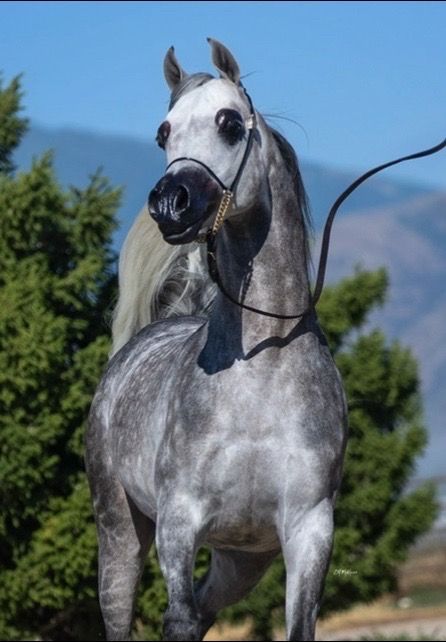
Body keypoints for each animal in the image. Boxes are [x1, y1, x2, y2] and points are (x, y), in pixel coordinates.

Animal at [85, 39, 348, 641]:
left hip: (241, 561)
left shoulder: (309, 529)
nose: (170, 204)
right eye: (163, 133)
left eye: (229, 122)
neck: (260, 371)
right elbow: (178, 619)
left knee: (206, 611)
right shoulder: (179, 523)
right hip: (120, 533)